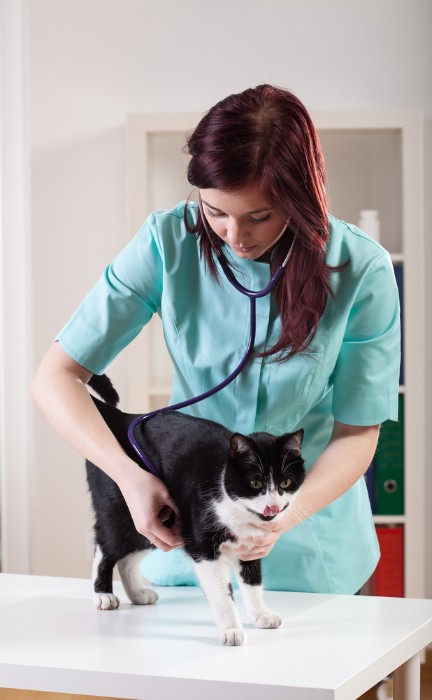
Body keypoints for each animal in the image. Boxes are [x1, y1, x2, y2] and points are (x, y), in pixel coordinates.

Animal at [86, 378, 306, 644]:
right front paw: (230, 629)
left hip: (157, 523)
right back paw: (102, 594)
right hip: (126, 507)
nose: (272, 506)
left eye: (285, 482)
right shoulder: (203, 545)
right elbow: (221, 591)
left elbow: (253, 579)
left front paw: (260, 614)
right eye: (255, 483)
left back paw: (137, 594)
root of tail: (121, 419)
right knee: (106, 545)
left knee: (129, 555)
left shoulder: (252, 544)